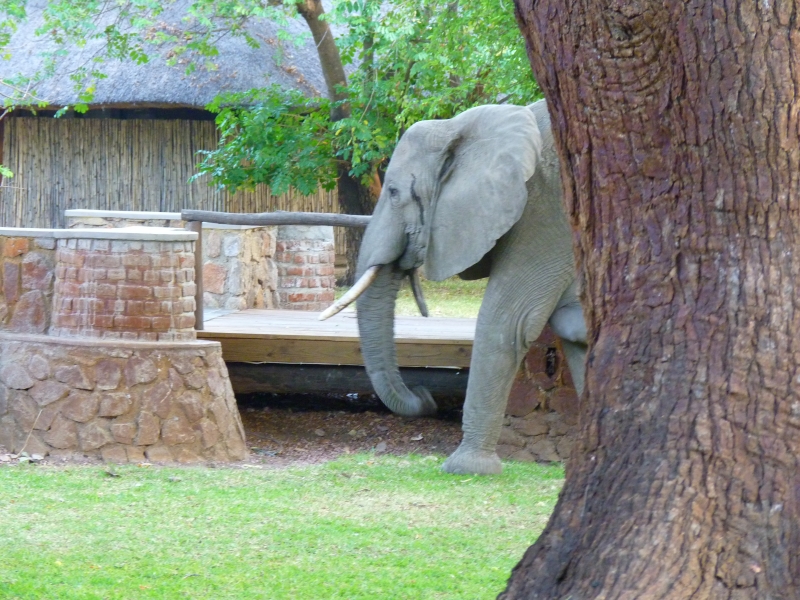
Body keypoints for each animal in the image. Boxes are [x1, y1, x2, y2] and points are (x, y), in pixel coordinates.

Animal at [321, 100, 587, 475]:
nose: (424, 394)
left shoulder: (544, 211)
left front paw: (467, 469)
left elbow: (508, 322)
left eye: (394, 192)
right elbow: (576, 332)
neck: (459, 127)